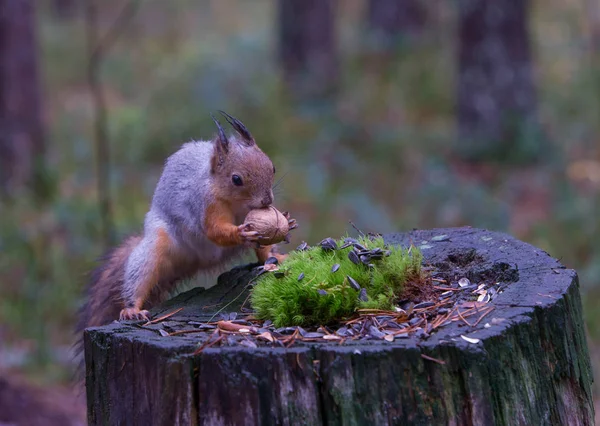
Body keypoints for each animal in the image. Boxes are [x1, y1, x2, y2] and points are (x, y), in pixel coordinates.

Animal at [77, 111, 298, 332]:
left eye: (272, 167)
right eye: (236, 179)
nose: (267, 200)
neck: (234, 201)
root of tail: (196, 261)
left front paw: (286, 222)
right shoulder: (205, 203)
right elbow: (214, 230)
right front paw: (240, 232)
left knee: (263, 254)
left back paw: (277, 258)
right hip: (157, 245)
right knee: (139, 275)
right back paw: (132, 308)